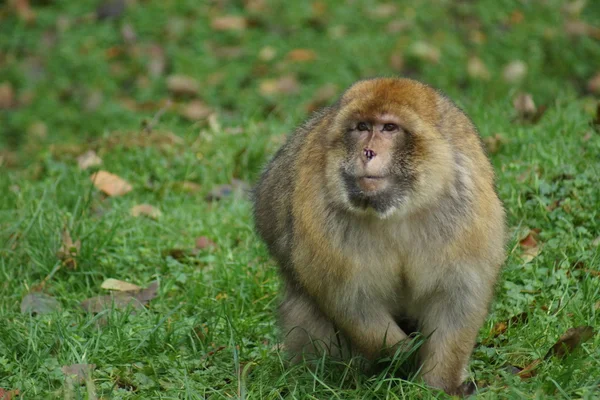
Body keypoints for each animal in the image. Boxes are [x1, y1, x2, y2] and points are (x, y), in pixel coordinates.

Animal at [253, 76, 506, 396]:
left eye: (389, 128)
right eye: (362, 127)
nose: (368, 152)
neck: (397, 211)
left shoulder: (466, 209)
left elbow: (457, 298)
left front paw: (439, 385)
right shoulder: (322, 216)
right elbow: (352, 302)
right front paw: (402, 354)